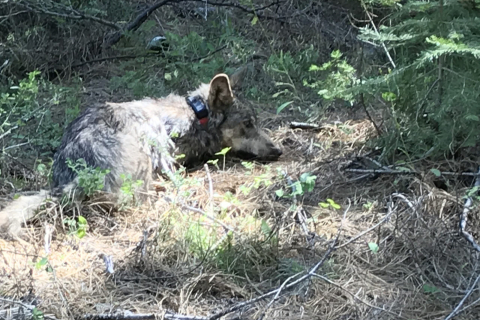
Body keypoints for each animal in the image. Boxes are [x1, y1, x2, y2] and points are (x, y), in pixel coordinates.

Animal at [0, 71, 284, 239]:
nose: (279, 151)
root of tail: (78, 174)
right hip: (142, 154)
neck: (195, 114)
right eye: (248, 124)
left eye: (256, 122)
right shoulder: (165, 156)